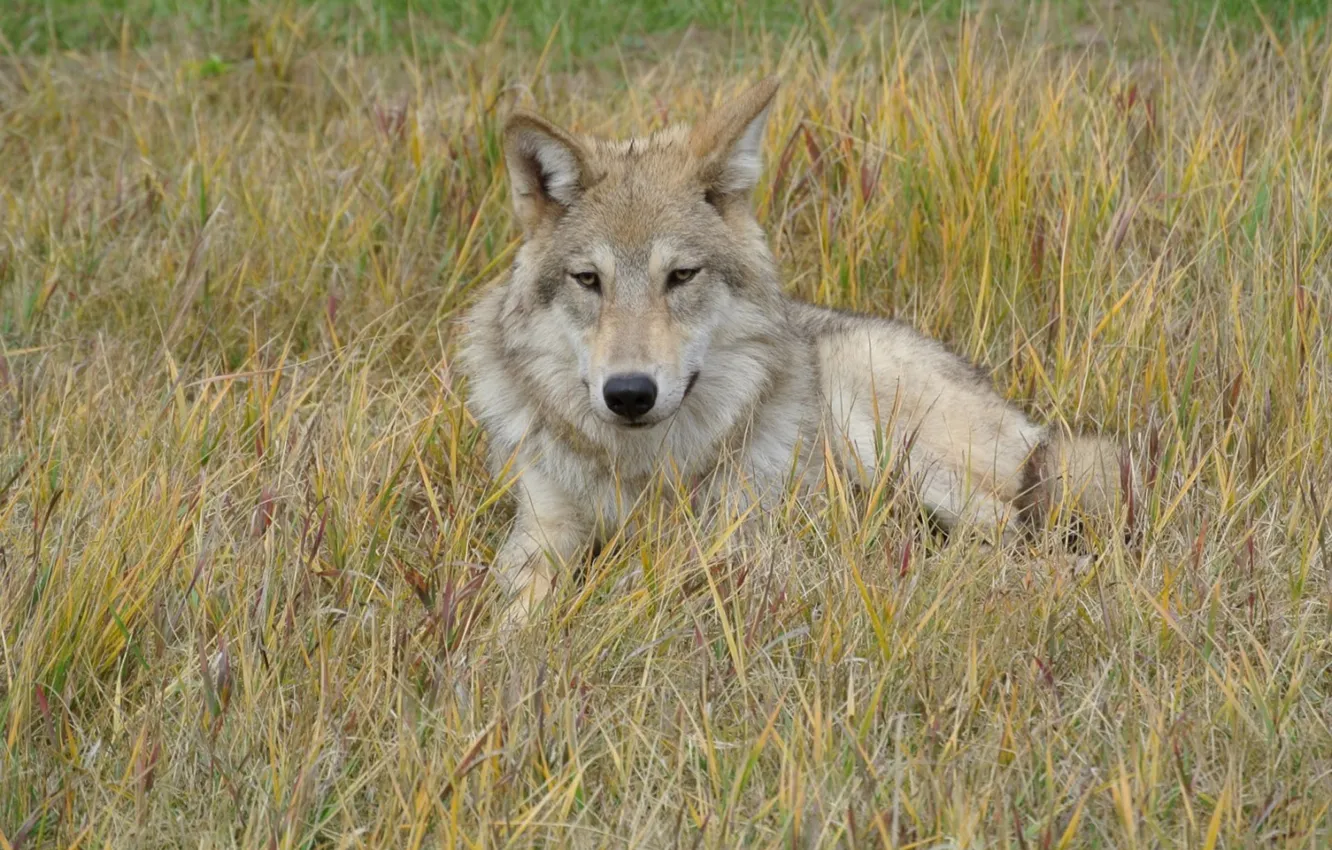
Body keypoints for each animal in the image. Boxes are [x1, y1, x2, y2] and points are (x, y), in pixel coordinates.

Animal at [458, 77, 1134, 630]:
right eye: (588, 280)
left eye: (680, 276)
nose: (628, 394)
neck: (641, 470)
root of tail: (1030, 426)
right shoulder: (540, 532)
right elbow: (512, 611)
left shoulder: (738, 541)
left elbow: (655, 577)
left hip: (885, 433)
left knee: (1024, 543)